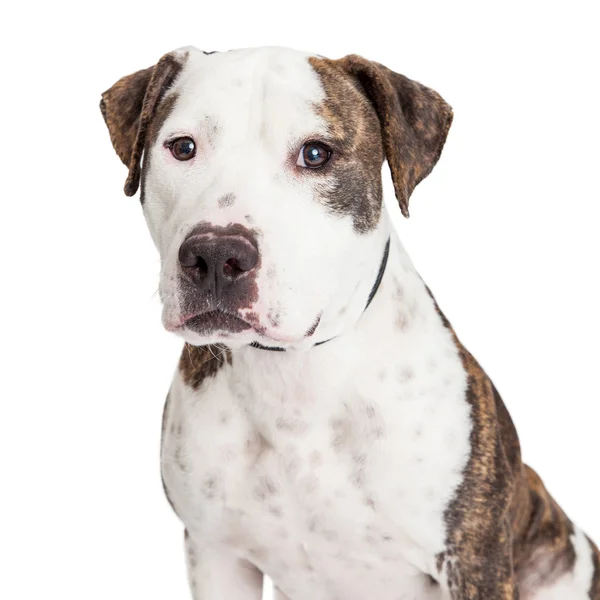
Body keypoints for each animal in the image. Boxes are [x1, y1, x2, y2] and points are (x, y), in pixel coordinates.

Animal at [101, 44, 596, 596]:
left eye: (316, 154)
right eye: (183, 147)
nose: (214, 255)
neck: (292, 377)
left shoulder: (473, 559)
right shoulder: (215, 553)